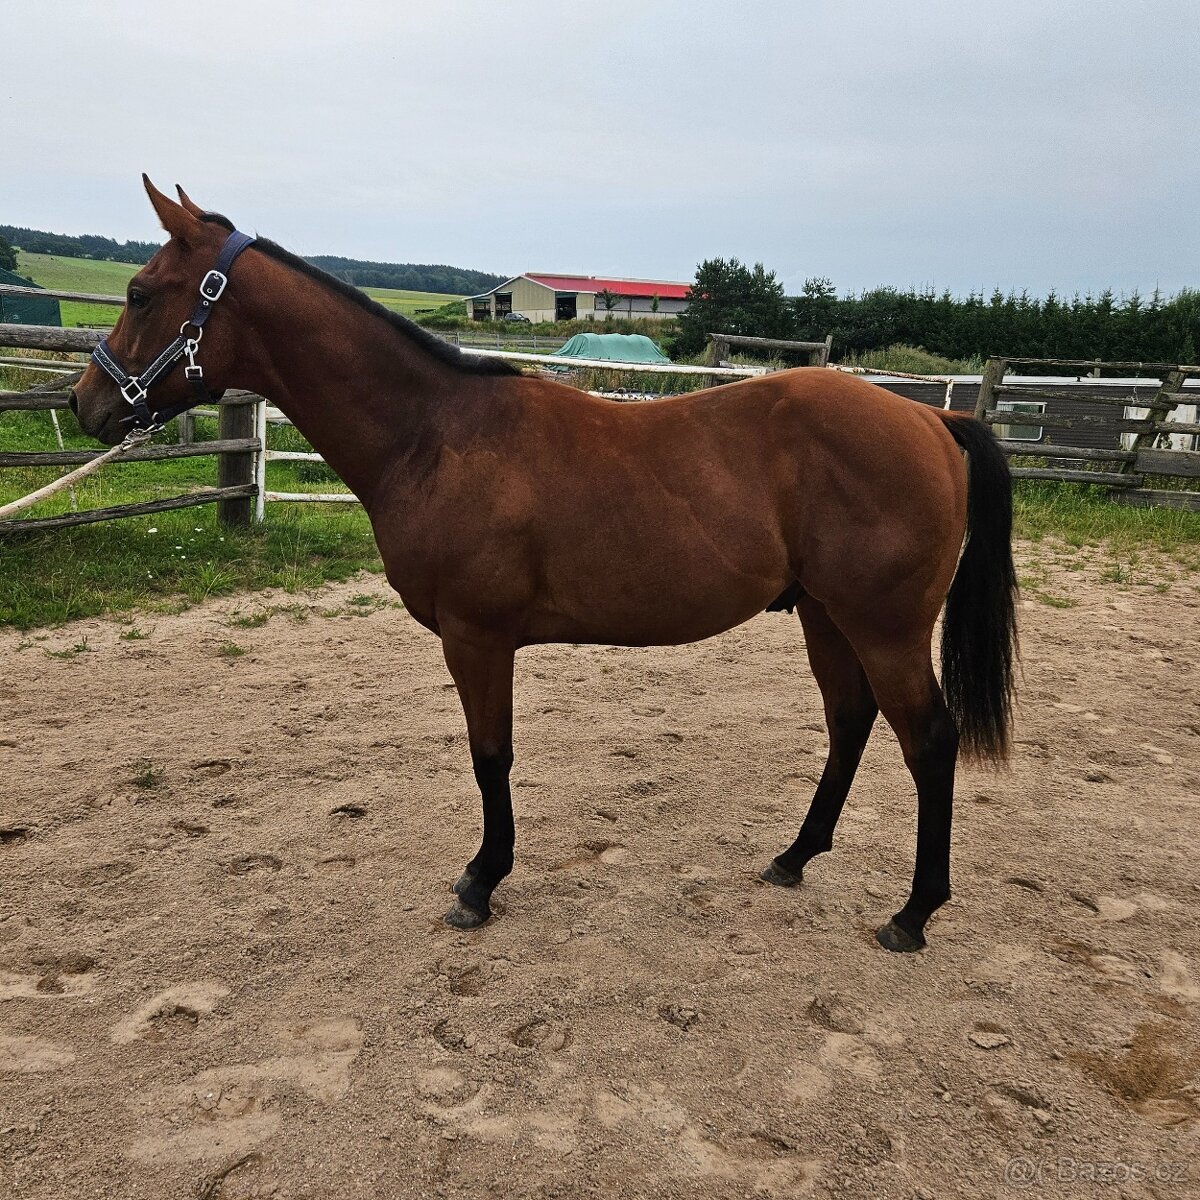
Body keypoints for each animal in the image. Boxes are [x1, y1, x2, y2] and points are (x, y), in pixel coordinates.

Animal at [70, 177, 1017, 952]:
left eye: (139, 293)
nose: (86, 402)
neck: (433, 434)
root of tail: (933, 421)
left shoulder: (477, 638)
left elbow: (491, 754)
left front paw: (481, 883)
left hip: (884, 625)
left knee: (929, 740)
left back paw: (913, 913)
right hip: (825, 614)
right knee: (851, 722)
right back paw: (794, 856)